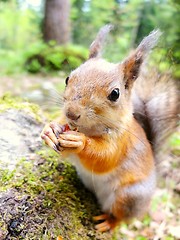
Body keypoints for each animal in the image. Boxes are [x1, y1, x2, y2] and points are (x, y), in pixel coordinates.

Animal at [40, 25, 179, 232]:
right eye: (67, 78)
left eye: (115, 94)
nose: (72, 113)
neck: (88, 129)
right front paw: (48, 130)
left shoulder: (120, 142)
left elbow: (104, 157)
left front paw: (80, 142)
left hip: (129, 197)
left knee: (122, 217)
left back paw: (108, 221)